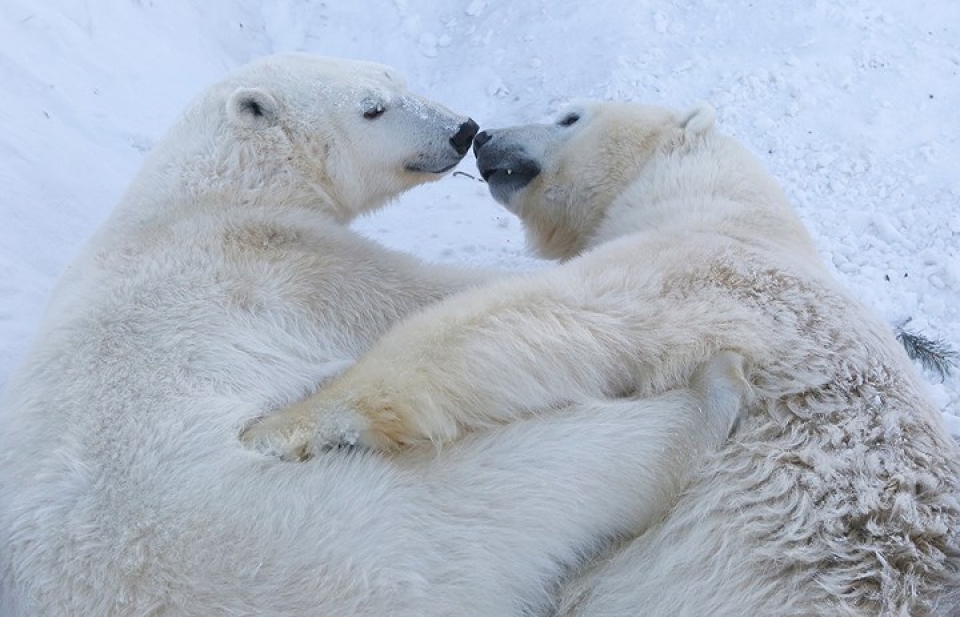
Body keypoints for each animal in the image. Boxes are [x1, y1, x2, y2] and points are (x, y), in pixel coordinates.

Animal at [0, 54, 748, 616]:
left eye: (395, 77)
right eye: (372, 108)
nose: (463, 128)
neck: (205, 193)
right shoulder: (288, 265)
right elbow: (421, 298)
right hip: (313, 535)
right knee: (521, 482)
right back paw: (706, 396)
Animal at [251, 101, 960, 612]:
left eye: (569, 115)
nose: (485, 136)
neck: (728, 205)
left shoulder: (708, 271)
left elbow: (541, 319)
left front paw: (288, 425)